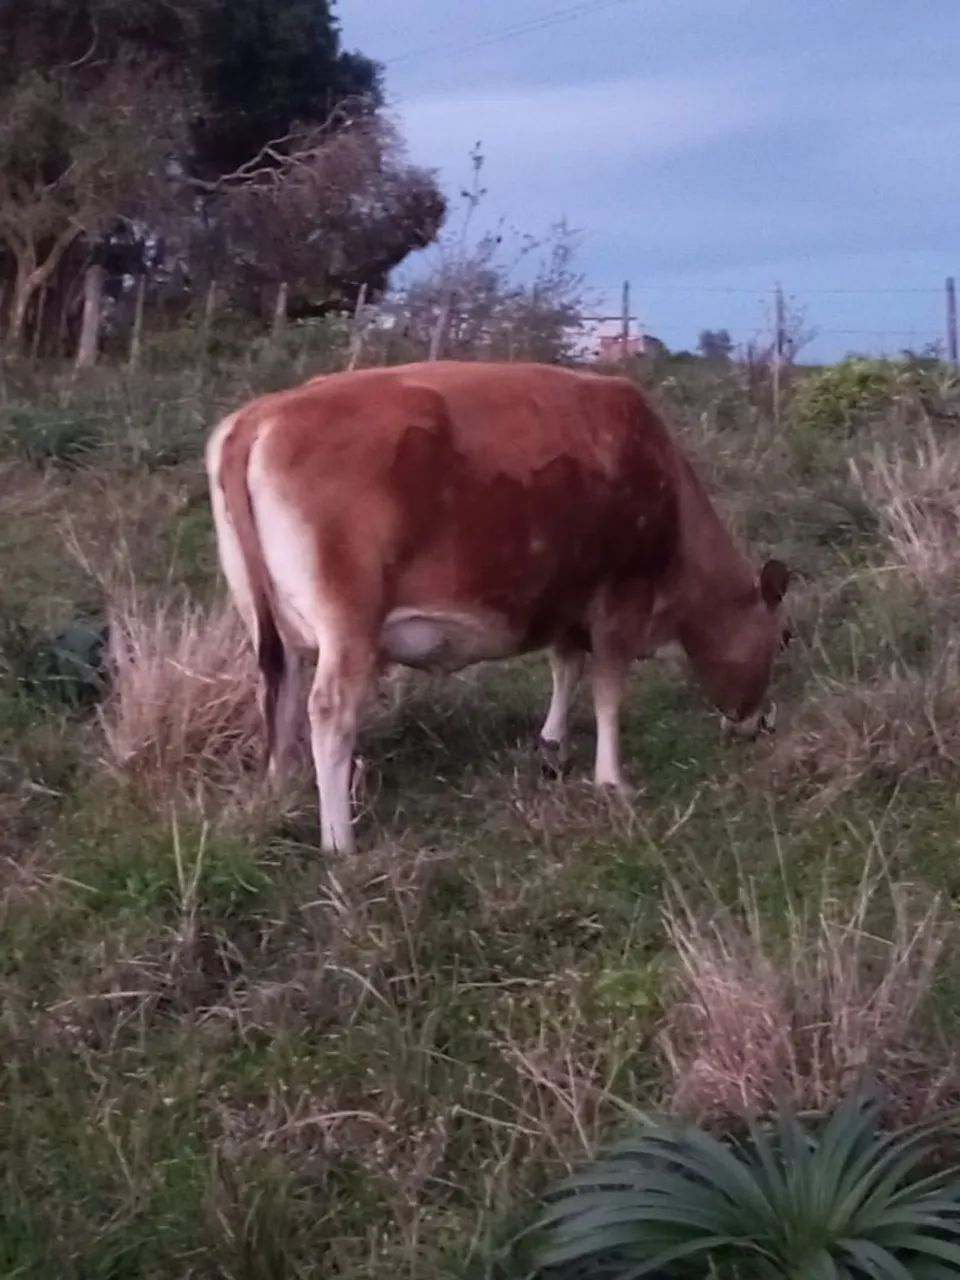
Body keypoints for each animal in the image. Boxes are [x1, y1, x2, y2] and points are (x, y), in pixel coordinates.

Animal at [206, 360, 790, 853]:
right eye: (783, 638)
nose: (759, 725)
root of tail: (259, 416)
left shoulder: (566, 599)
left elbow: (565, 667)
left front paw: (552, 746)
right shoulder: (622, 596)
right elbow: (607, 690)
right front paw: (612, 780)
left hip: (269, 624)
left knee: (279, 693)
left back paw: (281, 795)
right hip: (349, 625)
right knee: (329, 710)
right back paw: (339, 841)